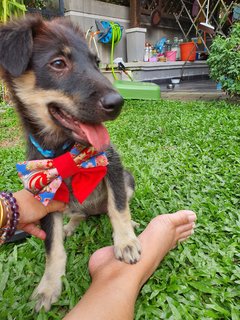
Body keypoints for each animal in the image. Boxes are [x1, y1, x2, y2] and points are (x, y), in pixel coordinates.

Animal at [0, 16, 142, 312]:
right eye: (58, 63)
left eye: (96, 63)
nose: (118, 102)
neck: (64, 148)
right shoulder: (45, 192)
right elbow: (52, 246)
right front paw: (48, 286)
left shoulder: (112, 164)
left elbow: (118, 207)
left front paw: (125, 242)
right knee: (79, 214)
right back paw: (70, 226)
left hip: (128, 179)